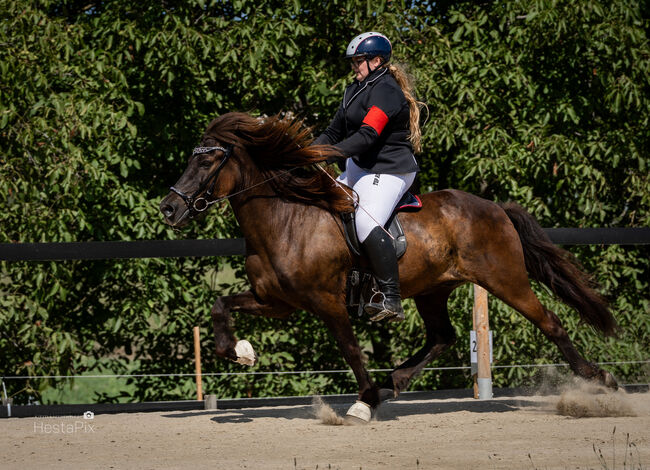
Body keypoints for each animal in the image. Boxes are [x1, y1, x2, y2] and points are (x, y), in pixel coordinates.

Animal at [159, 111, 616, 422]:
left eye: (206, 162)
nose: (168, 209)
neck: (286, 220)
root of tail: (495, 207)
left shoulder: (326, 302)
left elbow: (350, 349)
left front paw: (365, 401)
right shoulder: (276, 301)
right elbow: (221, 305)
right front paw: (240, 351)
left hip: (505, 279)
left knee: (550, 321)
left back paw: (599, 380)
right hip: (434, 289)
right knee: (442, 337)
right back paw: (395, 381)